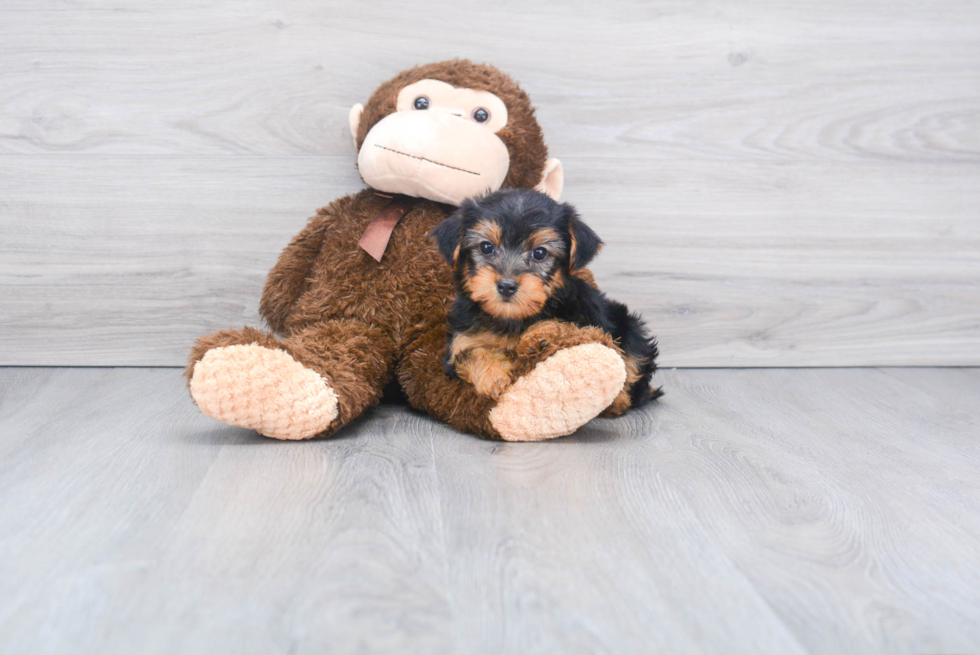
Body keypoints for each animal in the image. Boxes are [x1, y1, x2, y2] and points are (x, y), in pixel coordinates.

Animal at [428, 187, 660, 408]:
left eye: (539, 253)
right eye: (486, 247)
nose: (506, 286)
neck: (513, 318)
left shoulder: (590, 320)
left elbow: (575, 329)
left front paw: (540, 335)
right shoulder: (461, 340)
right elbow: (469, 354)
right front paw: (493, 376)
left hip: (628, 324)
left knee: (634, 366)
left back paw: (618, 400)